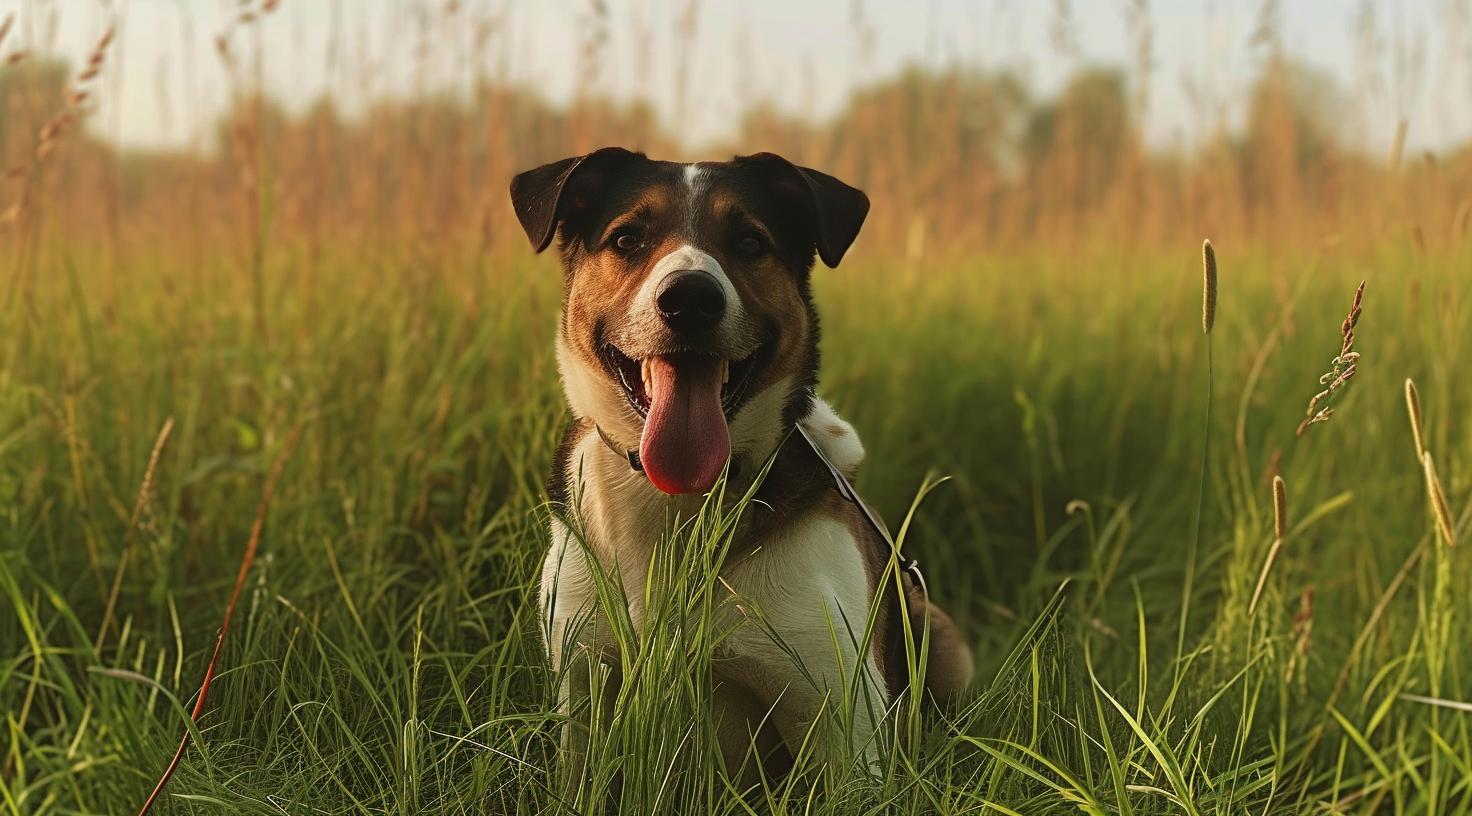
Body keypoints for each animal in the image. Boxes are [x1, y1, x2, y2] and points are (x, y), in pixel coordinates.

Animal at [512, 149, 971, 783]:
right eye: (628, 238)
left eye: (750, 242)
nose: (689, 298)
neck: (677, 500)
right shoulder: (583, 688)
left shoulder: (840, 716)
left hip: (937, 630)